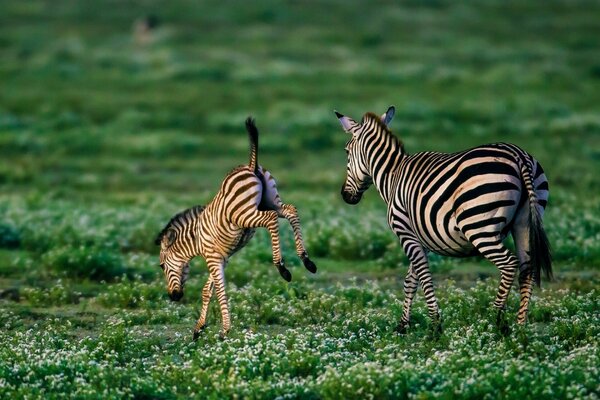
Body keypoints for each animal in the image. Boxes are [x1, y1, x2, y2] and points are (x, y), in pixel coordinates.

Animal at [156, 117, 318, 340]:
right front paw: (199, 328)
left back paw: (282, 267)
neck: (196, 240)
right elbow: (208, 290)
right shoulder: (221, 258)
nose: (173, 297)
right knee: (290, 211)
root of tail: (251, 166)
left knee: (271, 219)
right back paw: (306, 260)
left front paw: (224, 331)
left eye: (162, 266)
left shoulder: (213, 258)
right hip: (271, 201)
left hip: (244, 214)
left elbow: (220, 291)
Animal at [332, 106, 552, 334]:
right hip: (524, 223)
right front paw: (403, 325)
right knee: (527, 269)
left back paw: (495, 321)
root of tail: (518, 155)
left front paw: (435, 325)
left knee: (509, 264)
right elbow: (411, 280)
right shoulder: (421, 236)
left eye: (346, 152)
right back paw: (520, 327)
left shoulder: (405, 231)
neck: (392, 175)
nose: (345, 196)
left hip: (478, 226)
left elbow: (423, 275)